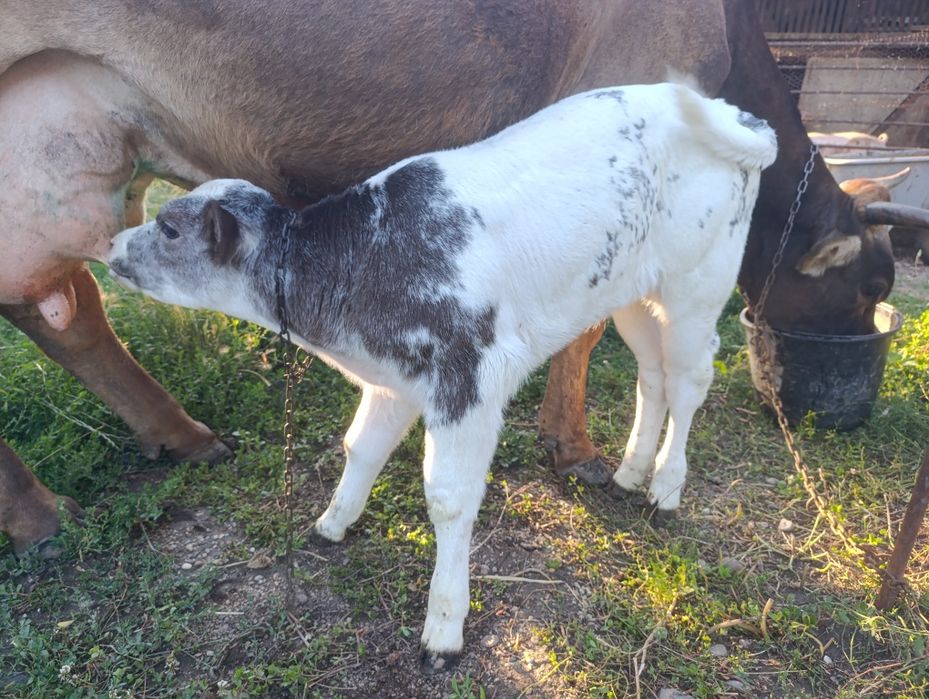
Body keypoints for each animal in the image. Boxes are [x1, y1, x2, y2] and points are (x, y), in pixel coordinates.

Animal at [2, 0, 929, 556]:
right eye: (868, 290)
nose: (802, 410)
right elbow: (586, 328)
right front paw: (573, 447)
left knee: (65, 309)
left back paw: (182, 435)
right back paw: (42, 517)